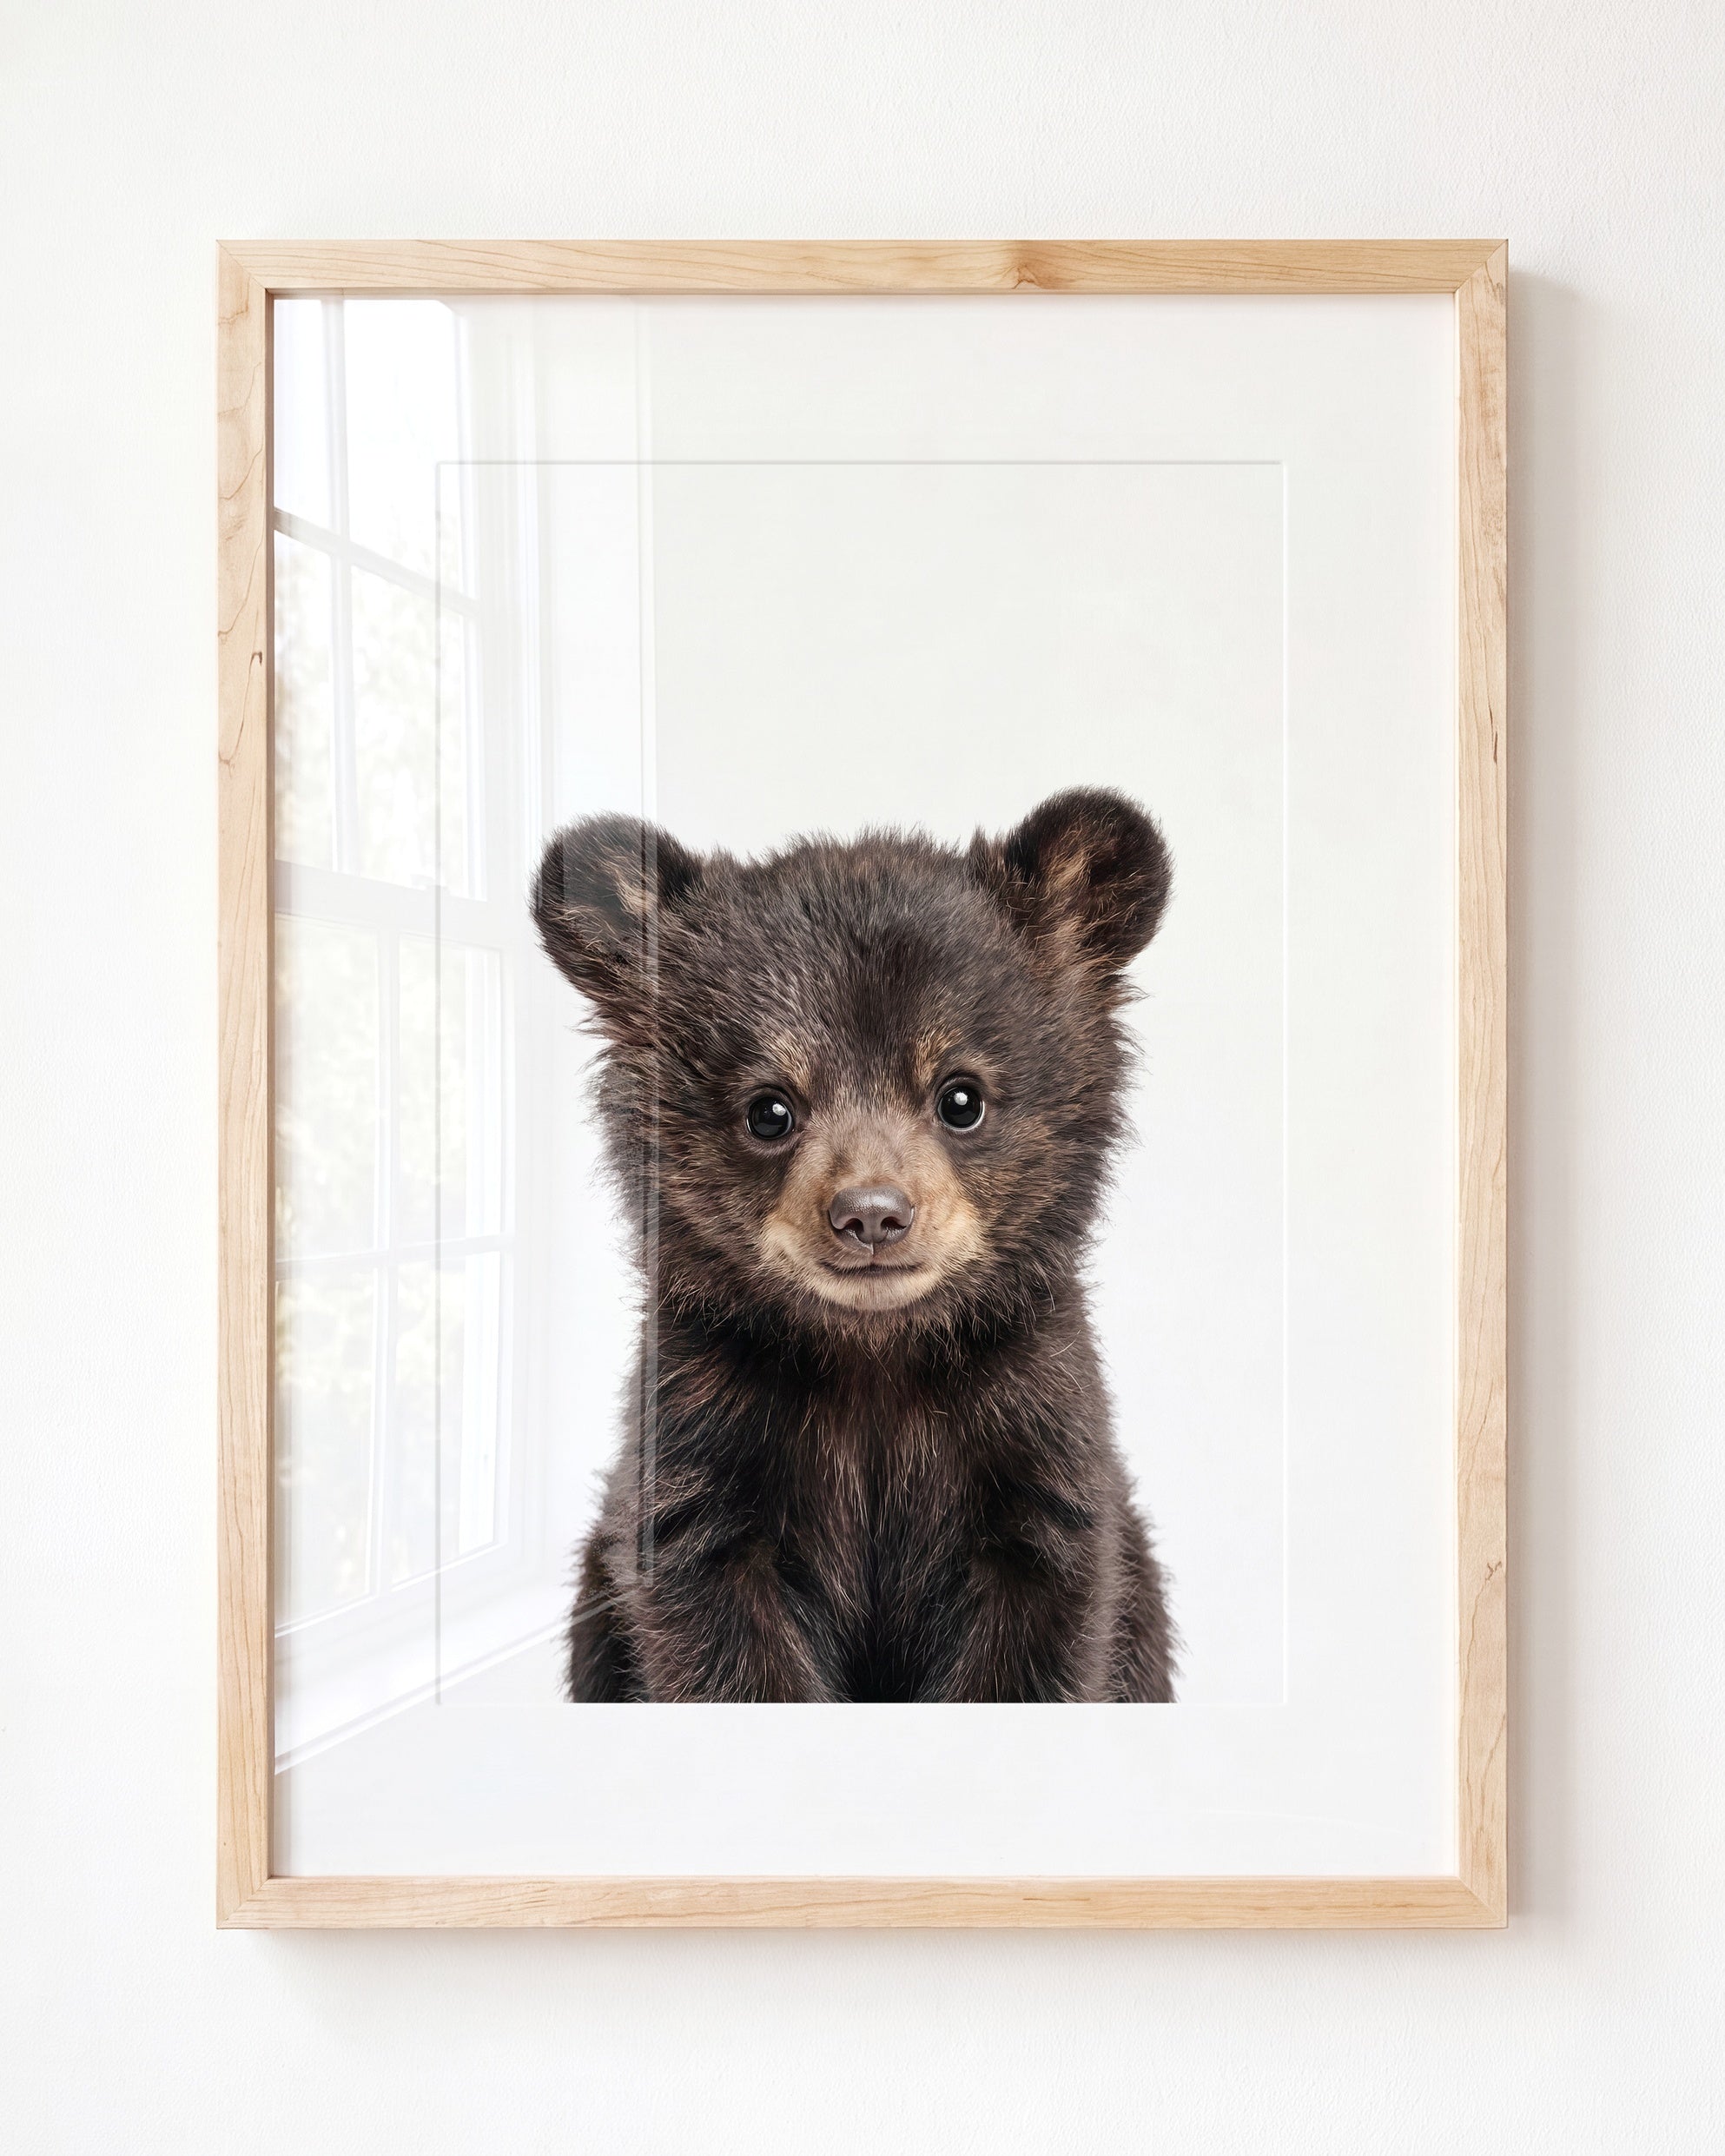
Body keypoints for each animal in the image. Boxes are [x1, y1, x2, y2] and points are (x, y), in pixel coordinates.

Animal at [531, 787, 1179, 1703]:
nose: (871, 1214)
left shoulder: (1035, 1438)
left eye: (961, 1097)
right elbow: (719, 1637)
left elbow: (1039, 1632)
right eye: (769, 1109)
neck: (874, 1358)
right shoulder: (700, 1444)